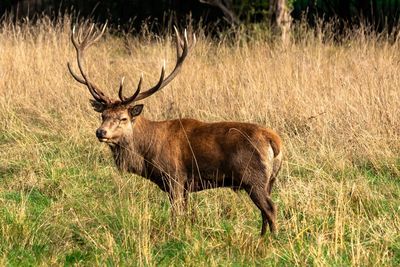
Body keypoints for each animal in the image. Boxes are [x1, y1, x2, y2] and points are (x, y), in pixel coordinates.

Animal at [67, 23, 282, 237]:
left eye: (123, 118)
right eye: (103, 115)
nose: (100, 132)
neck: (146, 152)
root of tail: (275, 141)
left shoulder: (175, 177)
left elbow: (175, 214)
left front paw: (174, 235)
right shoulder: (186, 186)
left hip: (253, 178)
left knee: (270, 209)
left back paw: (272, 239)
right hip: (269, 180)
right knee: (264, 212)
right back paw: (262, 237)